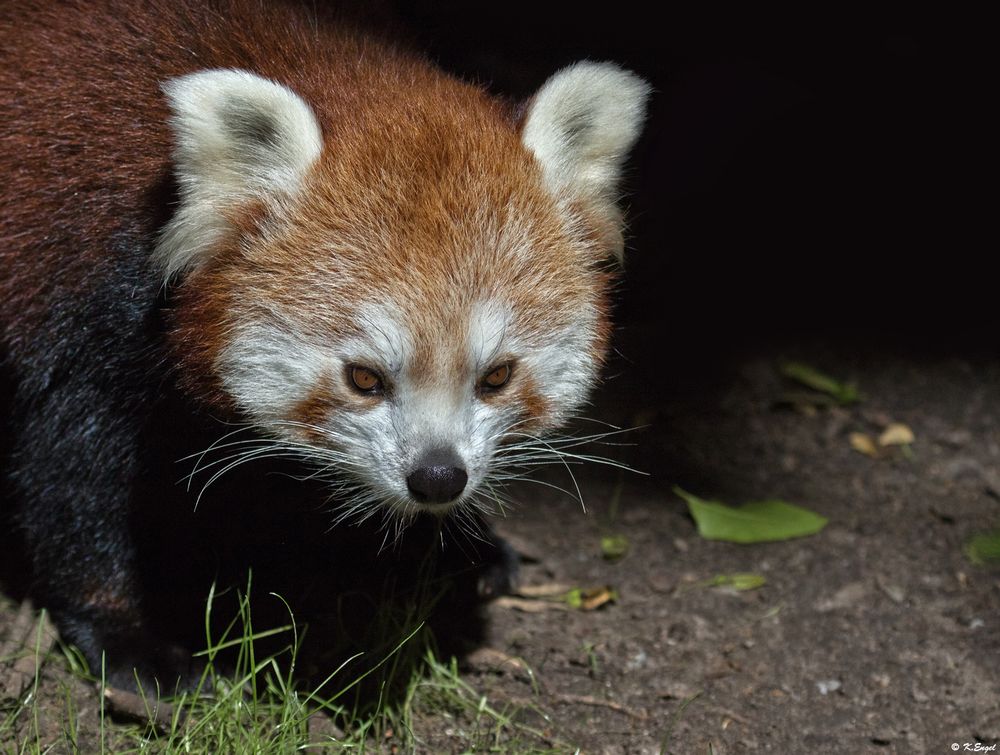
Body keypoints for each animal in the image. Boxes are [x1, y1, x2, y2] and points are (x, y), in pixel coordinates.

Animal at [0, 0, 648, 688]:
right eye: (364, 378)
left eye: (496, 376)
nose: (438, 477)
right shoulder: (84, 304)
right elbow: (73, 477)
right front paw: (125, 640)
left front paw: (457, 548)